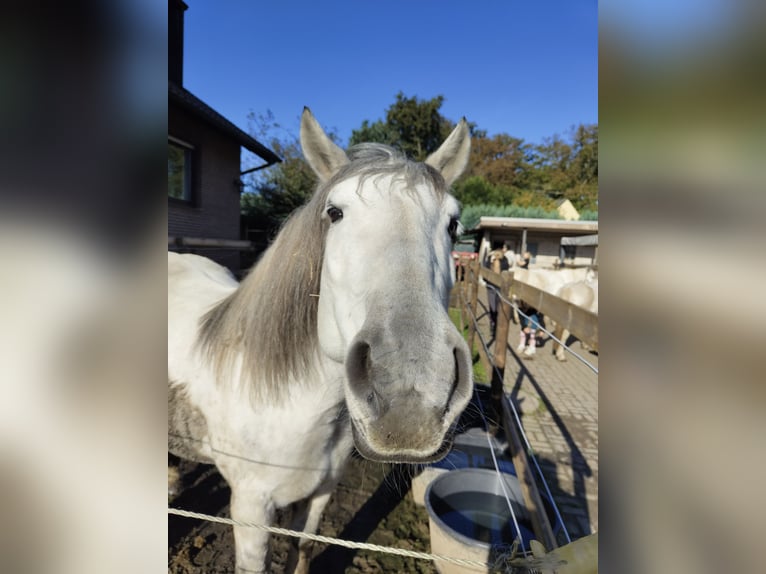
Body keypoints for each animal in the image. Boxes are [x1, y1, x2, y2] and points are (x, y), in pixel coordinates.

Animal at [170, 109, 474, 574]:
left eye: (453, 224)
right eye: (335, 212)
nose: (411, 395)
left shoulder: (320, 494)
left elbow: (303, 547)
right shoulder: (250, 509)